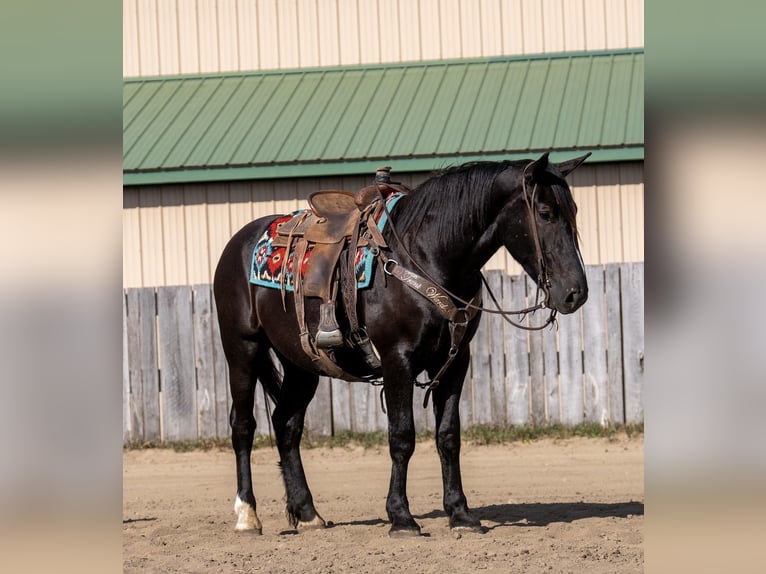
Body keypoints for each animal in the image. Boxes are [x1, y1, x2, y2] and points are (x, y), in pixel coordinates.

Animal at [213, 152, 590, 537]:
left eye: (573, 210)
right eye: (545, 213)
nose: (576, 292)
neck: (427, 256)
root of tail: (238, 243)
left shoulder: (455, 361)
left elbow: (448, 436)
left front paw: (461, 513)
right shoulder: (398, 360)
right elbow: (402, 437)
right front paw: (401, 517)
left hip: (301, 364)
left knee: (286, 424)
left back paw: (307, 513)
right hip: (242, 350)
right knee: (243, 426)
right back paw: (247, 515)